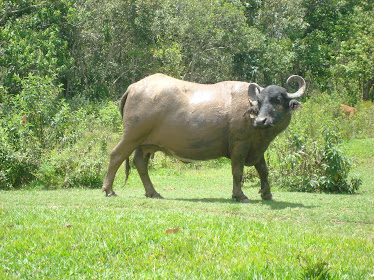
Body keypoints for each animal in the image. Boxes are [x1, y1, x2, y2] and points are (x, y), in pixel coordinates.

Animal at [101, 73, 306, 202]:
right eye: (260, 102)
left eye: (277, 100)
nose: (261, 121)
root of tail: (133, 87)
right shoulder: (239, 146)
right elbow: (237, 171)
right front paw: (239, 195)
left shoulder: (257, 148)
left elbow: (263, 170)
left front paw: (267, 194)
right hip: (132, 136)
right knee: (116, 156)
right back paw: (109, 190)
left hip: (144, 144)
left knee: (140, 163)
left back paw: (153, 193)